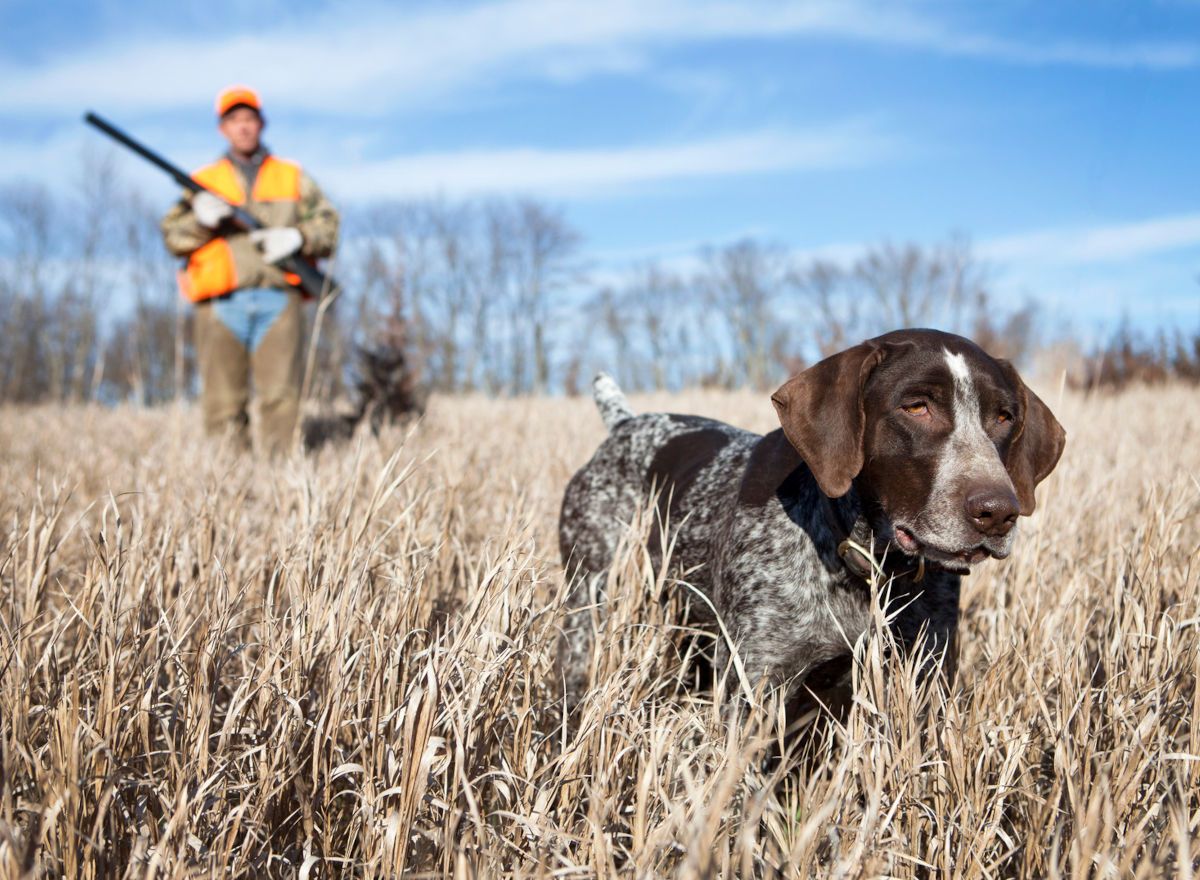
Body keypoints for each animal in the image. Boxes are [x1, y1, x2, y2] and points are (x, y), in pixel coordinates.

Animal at [556, 328, 1065, 705]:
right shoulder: (754, 684)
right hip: (590, 600)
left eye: (1004, 417)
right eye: (916, 406)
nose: (998, 512)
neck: (864, 562)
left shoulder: (924, 676)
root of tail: (624, 424)